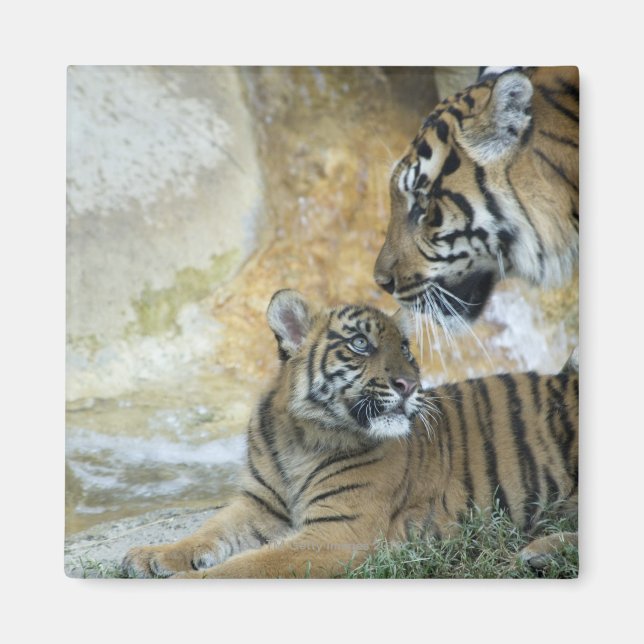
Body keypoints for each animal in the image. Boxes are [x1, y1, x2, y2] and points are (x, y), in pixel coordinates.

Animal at [122, 289, 578, 579]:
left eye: (406, 350)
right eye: (360, 344)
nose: (409, 385)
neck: (301, 436)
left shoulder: (338, 532)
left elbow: (248, 566)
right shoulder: (258, 505)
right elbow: (208, 531)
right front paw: (151, 556)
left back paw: (539, 552)